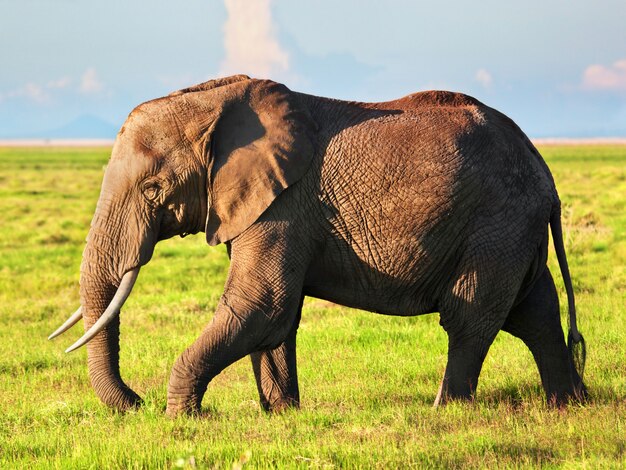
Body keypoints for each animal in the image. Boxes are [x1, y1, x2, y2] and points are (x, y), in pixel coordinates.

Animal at [50, 73, 584, 414]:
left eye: (152, 189)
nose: (134, 403)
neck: (217, 101)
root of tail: (545, 171)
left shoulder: (284, 205)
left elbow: (262, 304)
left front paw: (184, 416)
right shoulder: (260, 205)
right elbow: (275, 318)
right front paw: (282, 414)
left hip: (497, 224)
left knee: (470, 316)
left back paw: (445, 411)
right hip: (513, 231)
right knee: (535, 313)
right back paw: (570, 404)